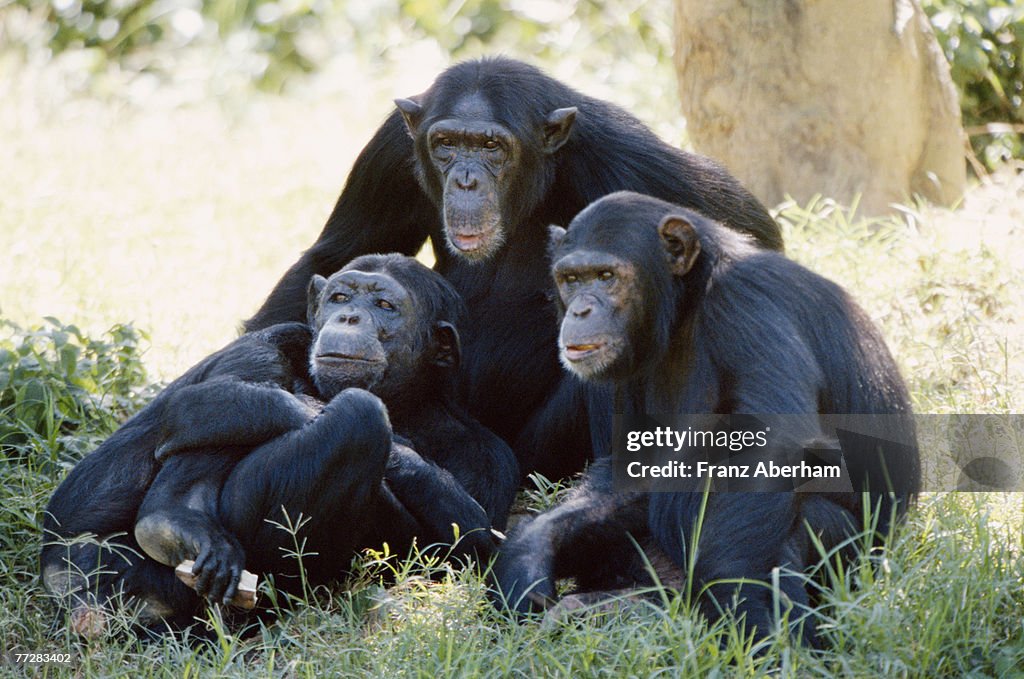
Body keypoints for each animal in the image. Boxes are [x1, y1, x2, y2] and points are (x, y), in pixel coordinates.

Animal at [43, 251, 516, 634]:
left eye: (384, 306)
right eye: (340, 298)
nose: (349, 318)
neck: (403, 401)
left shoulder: (491, 458)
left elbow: (474, 543)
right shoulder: (273, 337)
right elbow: (208, 399)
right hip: (109, 577)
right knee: (349, 415)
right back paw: (174, 520)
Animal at [241, 59, 782, 483]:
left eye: (490, 146)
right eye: (446, 143)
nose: (465, 178)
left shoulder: (627, 158)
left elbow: (748, 235)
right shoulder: (390, 149)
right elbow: (338, 252)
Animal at [491, 192, 925, 647]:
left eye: (606, 276)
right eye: (571, 279)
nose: (579, 309)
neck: (688, 303)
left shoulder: (748, 302)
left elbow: (771, 446)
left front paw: (751, 619)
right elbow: (633, 465)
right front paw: (530, 550)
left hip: (857, 566)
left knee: (797, 520)